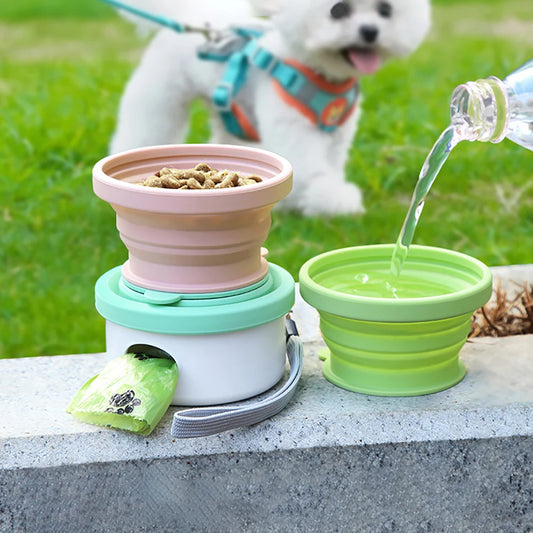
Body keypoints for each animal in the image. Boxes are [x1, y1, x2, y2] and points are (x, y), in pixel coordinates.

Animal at [110, 1, 430, 216]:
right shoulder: (293, 126)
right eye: (338, 10)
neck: (322, 73)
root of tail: (186, 13)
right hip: (159, 95)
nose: (370, 31)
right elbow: (311, 171)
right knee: (143, 130)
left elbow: (330, 166)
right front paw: (330, 200)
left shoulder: (339, 134)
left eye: (385, 10)